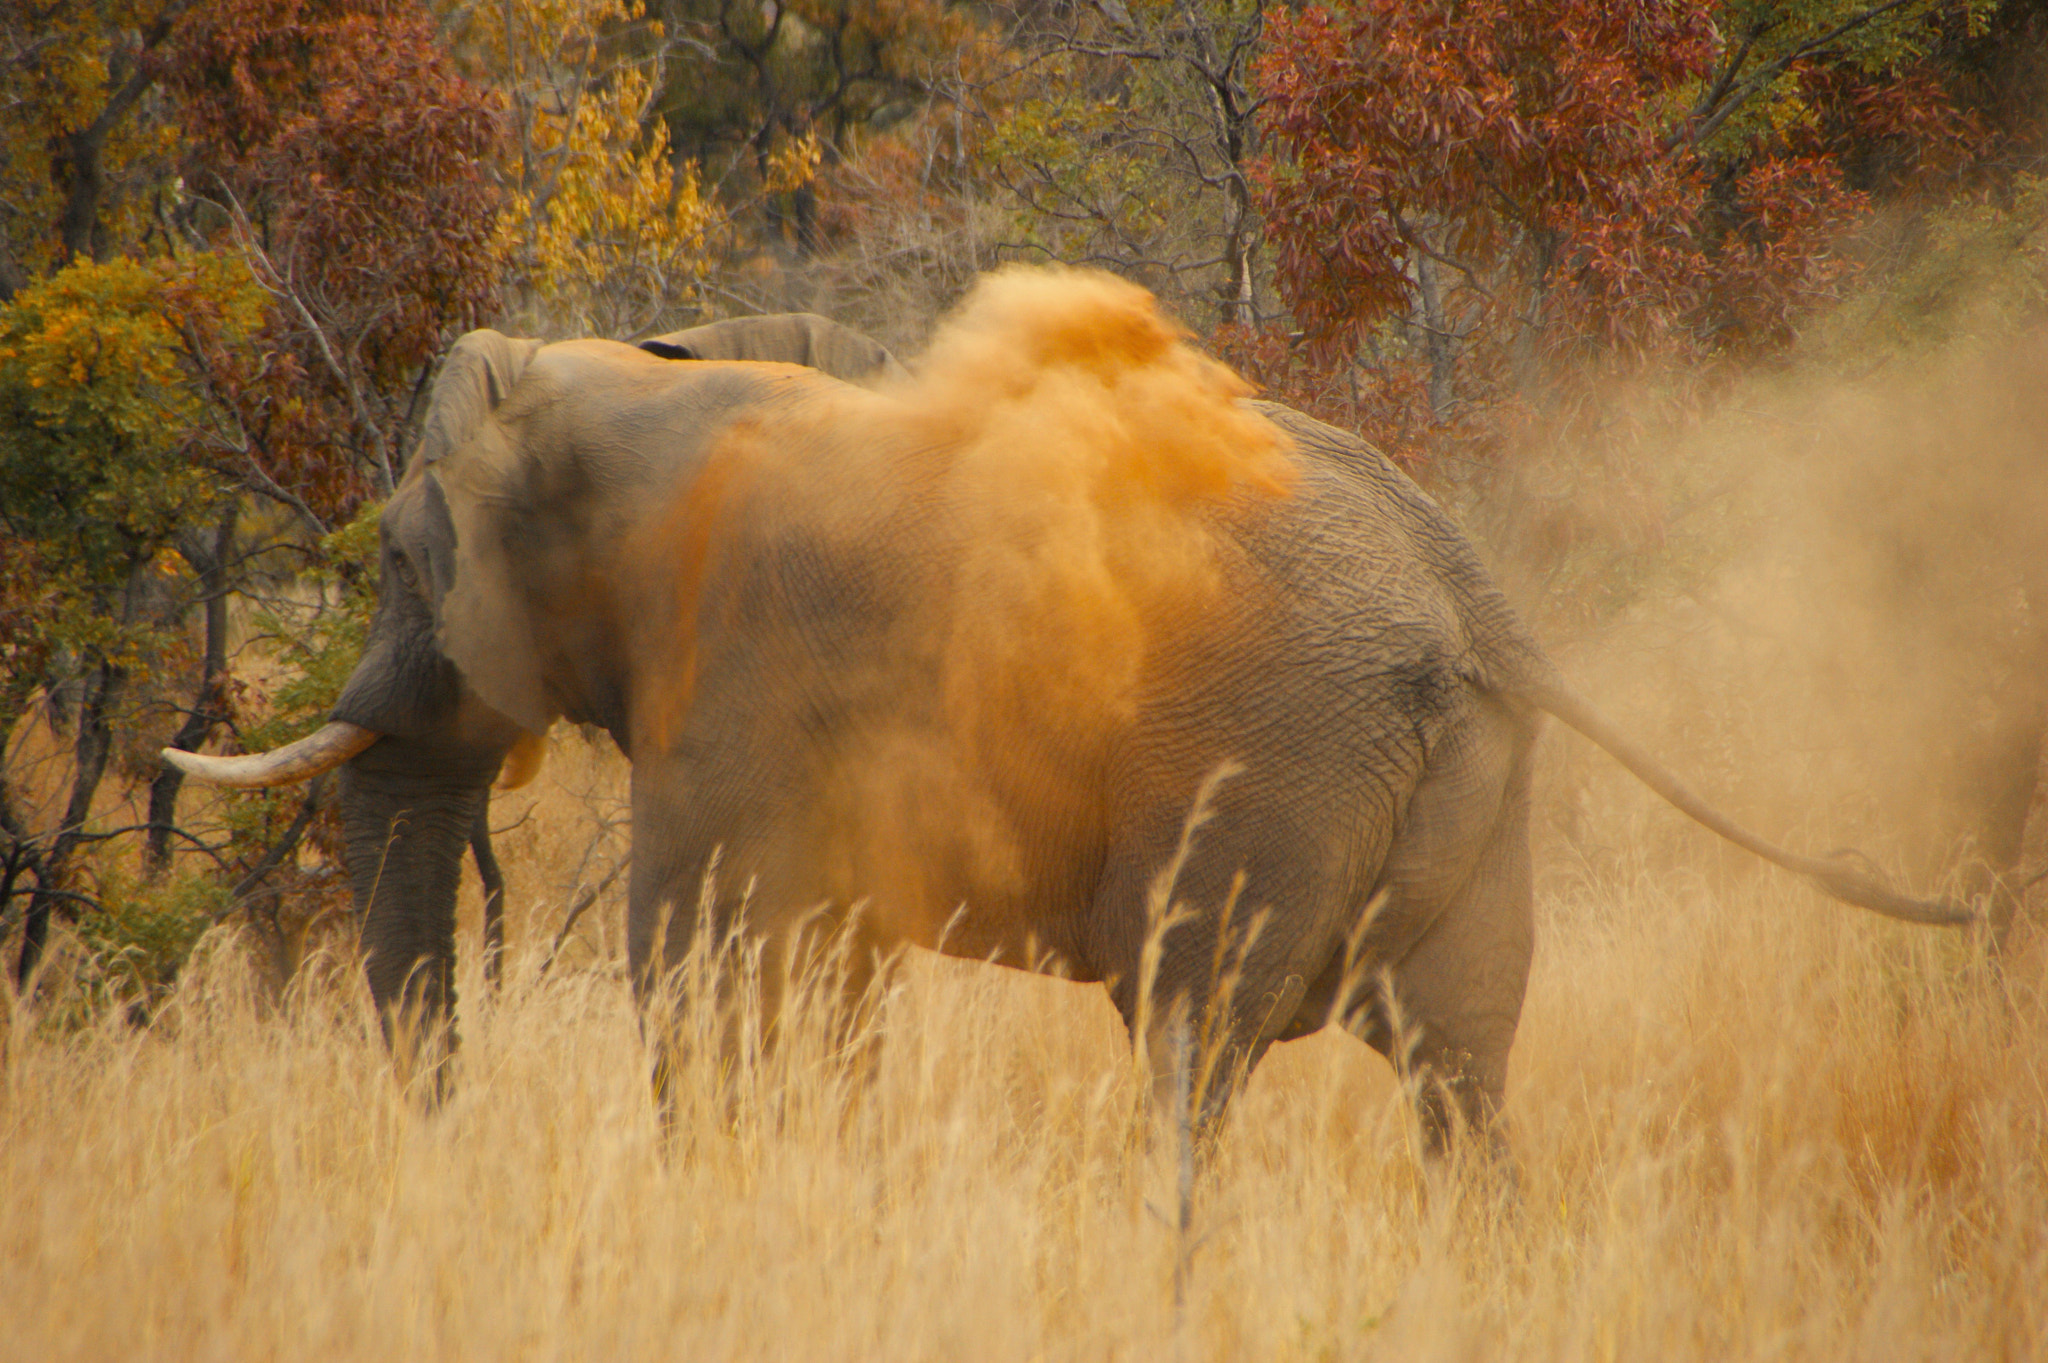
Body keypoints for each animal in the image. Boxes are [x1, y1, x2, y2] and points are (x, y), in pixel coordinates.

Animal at [167, 276, 1974, 1146]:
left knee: (1189, 1041)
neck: (624, 375)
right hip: (1466, 792)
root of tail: (1481, 601)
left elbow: (699, 956)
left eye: (398, 559)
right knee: (1456, 1064)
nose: (442, 1136)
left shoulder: (736, 680)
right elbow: (824, 975)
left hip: (1270, 760)